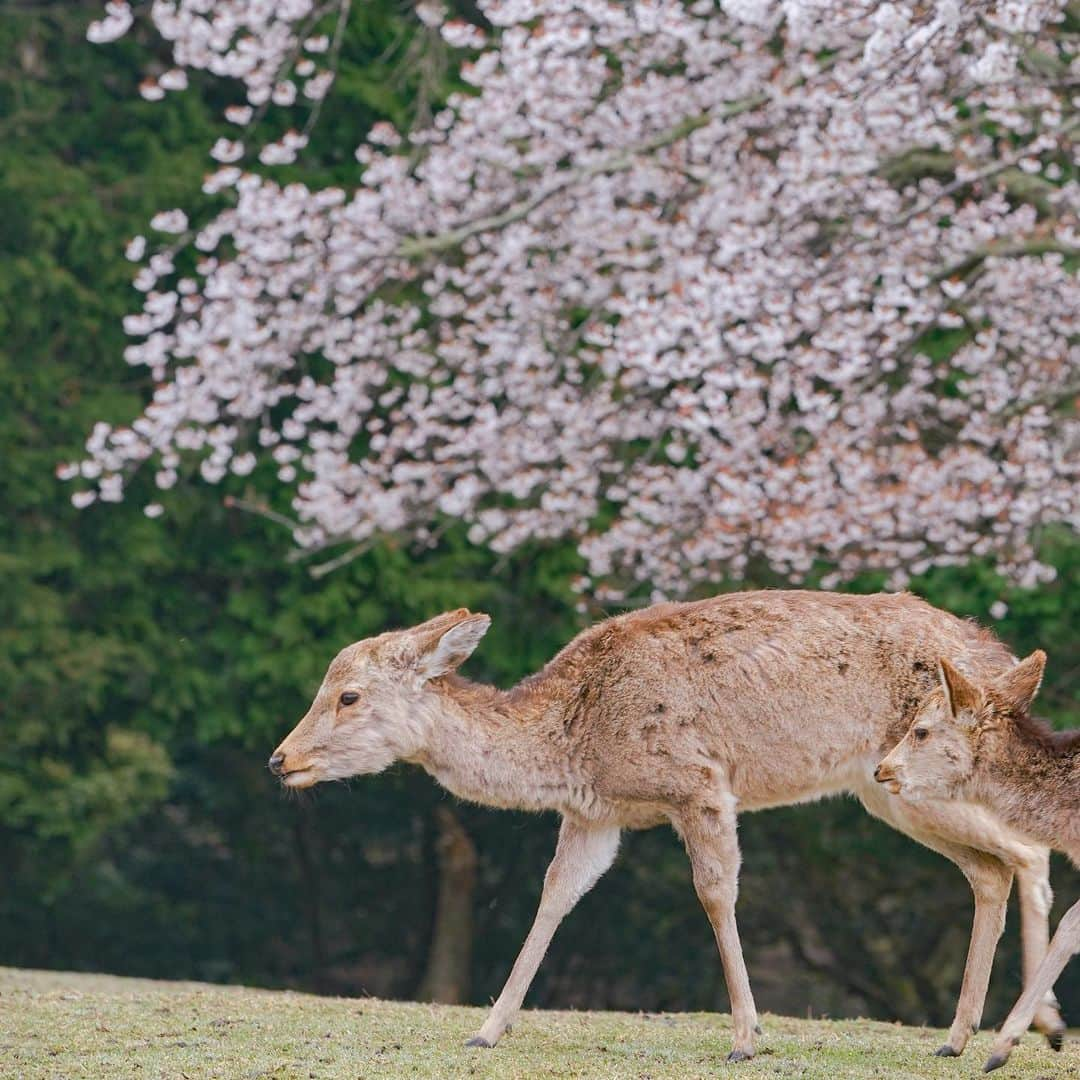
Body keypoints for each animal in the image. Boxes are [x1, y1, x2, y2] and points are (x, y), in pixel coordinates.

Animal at [267, 600, 1062, 1062]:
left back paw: (1031, 1030)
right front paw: (488, 1028)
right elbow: (554, 896)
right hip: (886, 790)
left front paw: (746, 1036)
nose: (280, 758)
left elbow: (714, 892)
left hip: (922, 778)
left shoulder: (697, 780)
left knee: (1027, 850)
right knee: (992, 868)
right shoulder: (595, 816)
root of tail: (1000, 660)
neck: (576, 743)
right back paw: (961, 1037)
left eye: (348, 695)